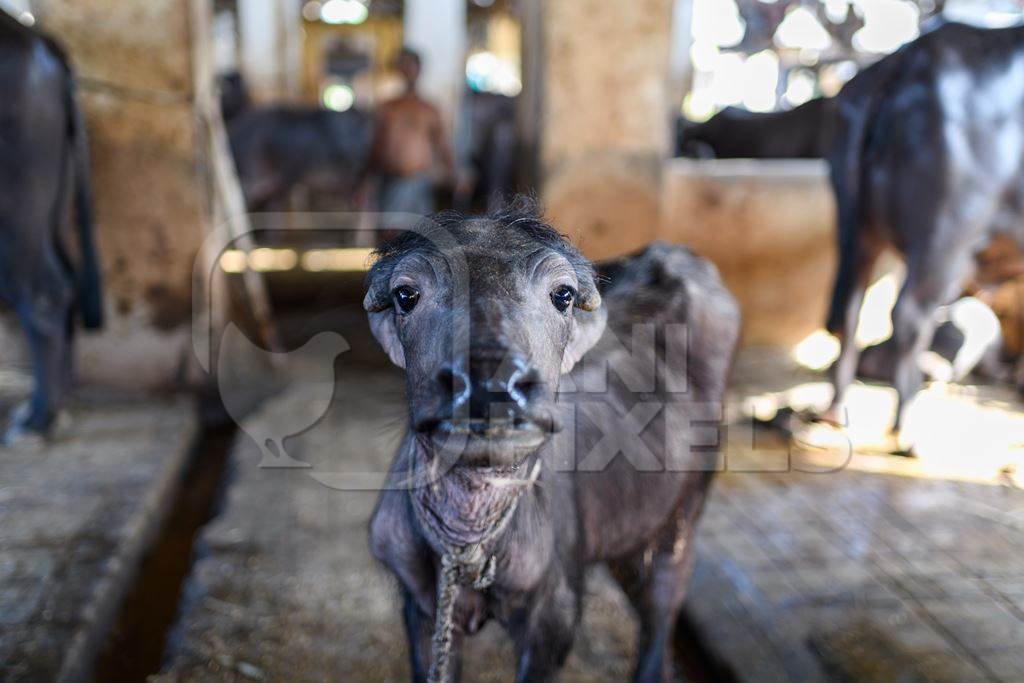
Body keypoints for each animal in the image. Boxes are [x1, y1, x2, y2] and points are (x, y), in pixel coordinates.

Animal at [819, 22, 1024, 444]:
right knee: (909, 318)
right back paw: (906, 427)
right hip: (947, 238)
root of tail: (906, 60)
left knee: (849, 310)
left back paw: (835, 411)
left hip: (860, 230)